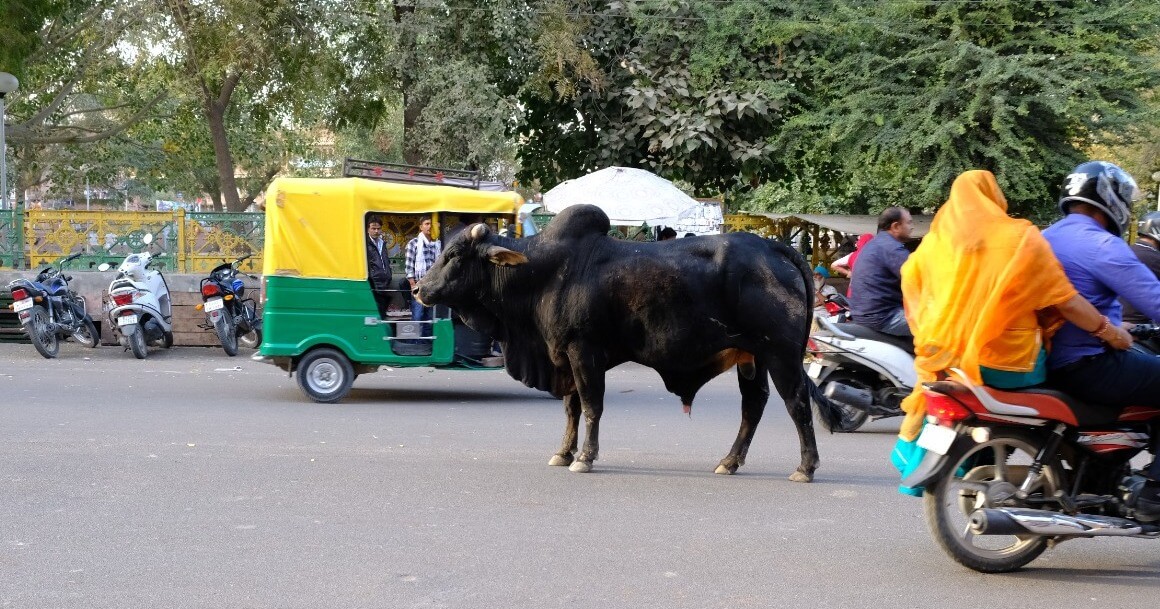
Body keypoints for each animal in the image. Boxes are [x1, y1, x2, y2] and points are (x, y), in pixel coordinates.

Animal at [412, 204, 839, 480]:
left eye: (454, 254)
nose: (419, 289)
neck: (541, 273)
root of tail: (775, 247)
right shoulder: (565, 357)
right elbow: (570, 408)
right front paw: (563, 452)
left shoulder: (583, 352)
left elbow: (590, 406)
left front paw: (585, 458)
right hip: (753, 356)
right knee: (753, 407)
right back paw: (729, 461)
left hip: (781, 353)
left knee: (796, 403)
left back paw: (805, 467)